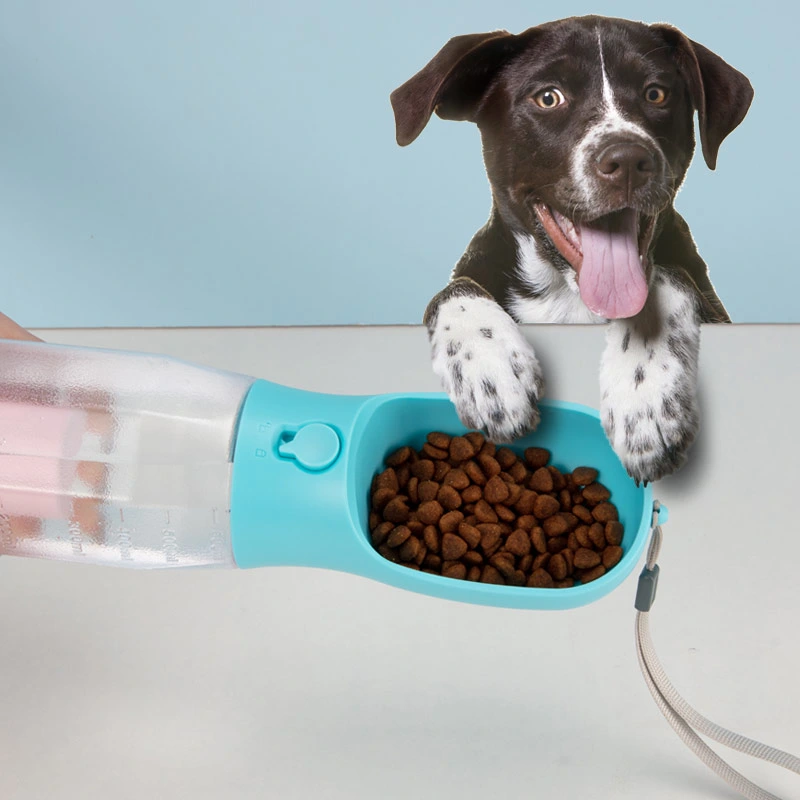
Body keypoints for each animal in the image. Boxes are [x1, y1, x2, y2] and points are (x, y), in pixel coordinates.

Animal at [390, 15, 752, 484]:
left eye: (656, 93)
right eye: (549, 97)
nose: (628, 160)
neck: (569, 296)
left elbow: (670, 275)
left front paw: (645, 391)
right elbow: (452, 291)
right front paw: (489, 366)